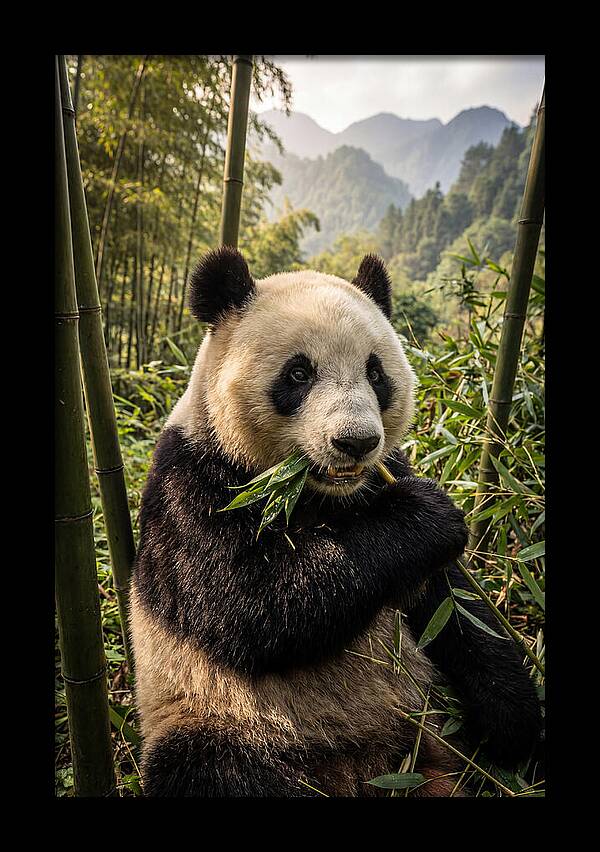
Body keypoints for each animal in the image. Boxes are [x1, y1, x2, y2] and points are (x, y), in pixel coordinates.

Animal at [130, 247, 542, 797]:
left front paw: (514, 722)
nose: (356, 441)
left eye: (376, 373)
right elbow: (249, 604)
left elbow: (455, 607)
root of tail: (364, 771)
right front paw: (427, 516)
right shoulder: (193, 483)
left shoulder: (385, 479)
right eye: (298, 374)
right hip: (217, 716)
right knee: (211, 770)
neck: (317, 494)